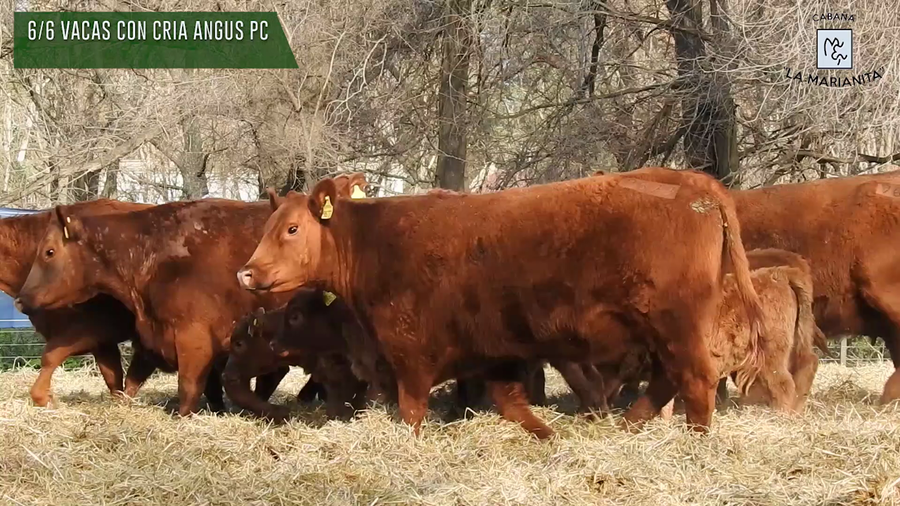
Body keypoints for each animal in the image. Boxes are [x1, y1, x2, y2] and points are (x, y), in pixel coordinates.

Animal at [14, 173, 370, 416]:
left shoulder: (194, 339)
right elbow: (130, 383)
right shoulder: (152, 339)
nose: (20, 299)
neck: (150, 252)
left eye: (48, 252)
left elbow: (189, 389)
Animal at [237, 167, 768, 439]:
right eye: (269, 227)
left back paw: (695, 441)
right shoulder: (496, 354)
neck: (378, 242)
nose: (247, 271)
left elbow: (411, 412)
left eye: (292, 228)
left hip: (676, 323)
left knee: (695, 380)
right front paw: (549, 436)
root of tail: (697, 183)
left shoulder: (411, 354)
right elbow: (513, 406)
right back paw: (629, 425)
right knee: (667, 380)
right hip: (659, 330)